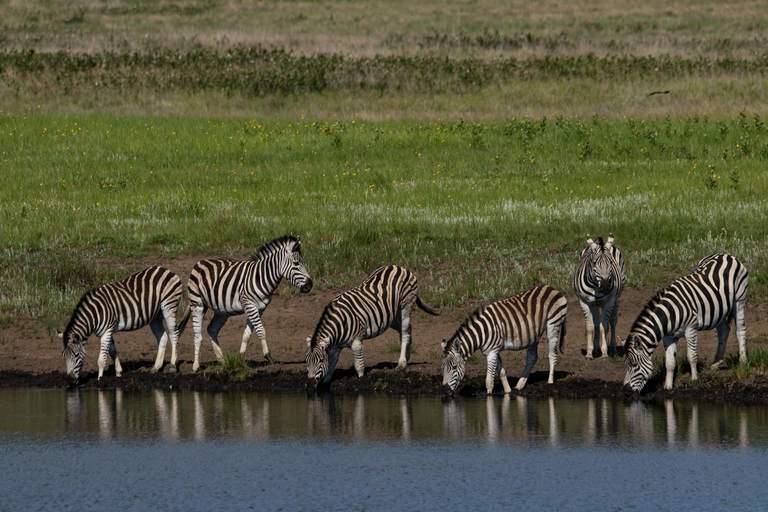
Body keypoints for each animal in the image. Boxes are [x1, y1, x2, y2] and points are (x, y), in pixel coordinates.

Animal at [57, 266, 189, 382]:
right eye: (64, 356)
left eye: (76, 355)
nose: (70, 379)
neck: (95, 314)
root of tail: (167, 269)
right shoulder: (106, 331)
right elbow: (112, 351)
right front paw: (119, 373)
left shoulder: (106, 331)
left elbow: (101, 359)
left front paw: (100, 380)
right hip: (155, 315)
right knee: (163, 337)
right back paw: (156, 367)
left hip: (169, 306)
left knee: (174, 333)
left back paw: (172, 366)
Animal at [187, 234, 312, 370]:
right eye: (296, 263)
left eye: (303, 263)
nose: (310, 285)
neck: (262, 278)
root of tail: (200, 262)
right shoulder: (250, 305)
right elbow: (261, 331)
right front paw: (268, 357)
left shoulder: (260, 308)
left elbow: (247, 334)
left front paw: (241, 357)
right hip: (197, 304)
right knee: (197, 335)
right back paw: (196, 365)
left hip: (221, 310)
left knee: (212, 329)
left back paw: (222, 360)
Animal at [304, 264, 438, 388]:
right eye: (306, 361)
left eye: (320, 360)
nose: (310, 384)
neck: (340, 325)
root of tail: (398, 267)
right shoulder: (336, 346)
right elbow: (331, 364)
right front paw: (326, 382)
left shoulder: (357, 342)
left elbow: (359, 365)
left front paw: (361, 380)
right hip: (391, 317)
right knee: (408, 329)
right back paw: (407, 356)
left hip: (406, 306)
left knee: (405, 332)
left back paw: (402, 363)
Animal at [440, 284, 568, 396]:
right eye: (442, 368)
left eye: (455, 367)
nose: (445, 391)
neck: (482, 332)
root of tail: (551, 287)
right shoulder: (493, 351)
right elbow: (501, 372)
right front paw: (508, 391)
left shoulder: (492, 352)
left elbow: (489, 381)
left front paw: (489, 397)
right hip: (533, 335)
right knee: (532, 358)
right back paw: (520, 385)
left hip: (553, 324)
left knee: (552, 355)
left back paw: (550, 382)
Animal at [624, 254, 752, 394]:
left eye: (634, 364)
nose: (626, 390)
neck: (669, 314)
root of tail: (726, 255)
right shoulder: (669, 337)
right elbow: (669, 362)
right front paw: (668, 386)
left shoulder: (691, 329)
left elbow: (692, 356)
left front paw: (694, 379)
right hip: (720, 308)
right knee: (724, 330)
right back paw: (716, 362)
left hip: (739, 299)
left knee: (740, 330)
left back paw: (743, 361)